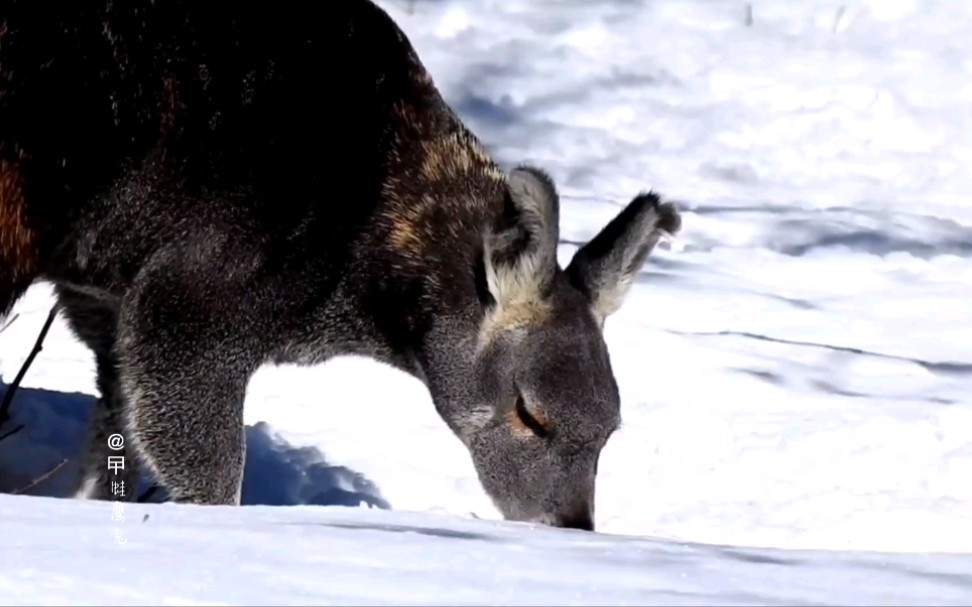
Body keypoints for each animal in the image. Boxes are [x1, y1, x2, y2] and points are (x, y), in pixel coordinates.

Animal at [0, 0, 680, 532]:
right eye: (530, 414)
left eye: (611, 428)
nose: (570, 525)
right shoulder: (188, 304)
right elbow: (209, 474)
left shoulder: (109, 306)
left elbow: (111, 442)